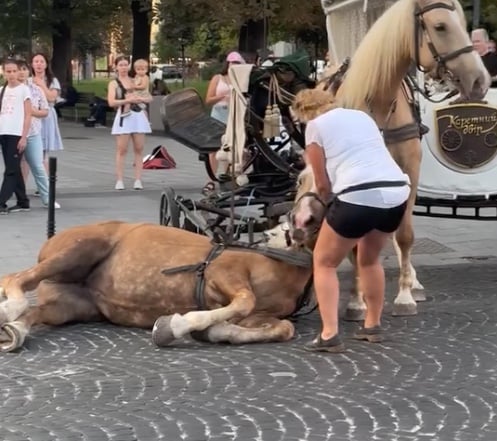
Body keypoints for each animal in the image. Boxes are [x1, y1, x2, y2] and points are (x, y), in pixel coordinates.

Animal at [0, 222, 314, 352]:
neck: (284, 261)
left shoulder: (259, 316)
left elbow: (284, 328)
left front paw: (213, 331)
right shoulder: (223, 273)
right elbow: (245, 300)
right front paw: (174, 326)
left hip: (69, 305)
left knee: (34, 311)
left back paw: (15, 331)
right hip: (82, 249)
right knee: (17, 280)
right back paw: (8, 310)